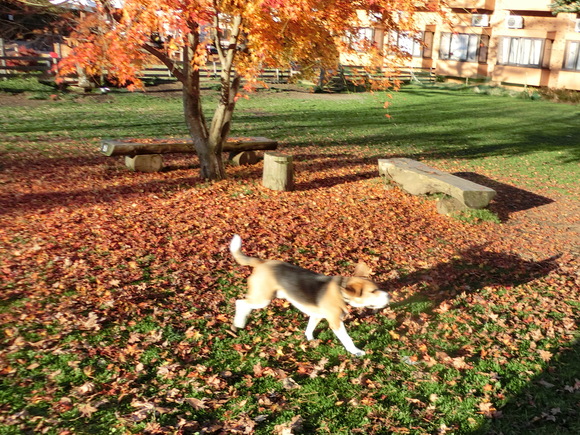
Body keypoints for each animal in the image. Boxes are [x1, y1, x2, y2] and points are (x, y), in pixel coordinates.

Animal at [228, 237, 390, 356]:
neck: (341, 290)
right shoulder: (336, 323)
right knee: (240, 303)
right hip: (263, 299)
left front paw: (310, 339)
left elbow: (309, 328)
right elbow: (347, 339)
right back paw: (239, 322)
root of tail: (263, 262)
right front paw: (356, 352)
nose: (389, 296)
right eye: (373, 291)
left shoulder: (316, 315)